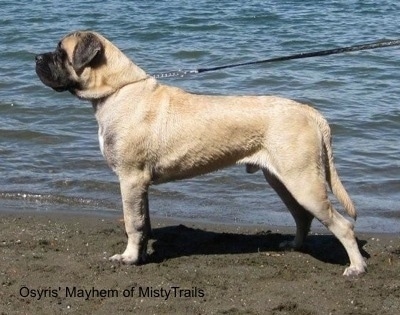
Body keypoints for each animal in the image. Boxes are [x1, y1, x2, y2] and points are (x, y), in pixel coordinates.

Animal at [36, 30, 368, 276]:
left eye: (60, 52)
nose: (37, 57)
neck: (118, 89)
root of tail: (311, 113)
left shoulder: (130, 179)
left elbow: (133, 222)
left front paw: (129, 257)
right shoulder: (140, 185)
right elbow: (143, 221)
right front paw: (140, 253)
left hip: (303, 181)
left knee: (342, 225)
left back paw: (356, 267)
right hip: (284, 180)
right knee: (303, 216)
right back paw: (294, 245)